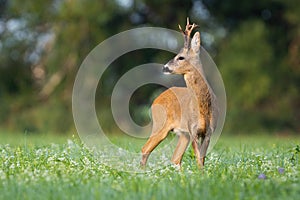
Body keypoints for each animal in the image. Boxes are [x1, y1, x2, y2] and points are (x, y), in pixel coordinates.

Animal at [141, 18, 218, 169]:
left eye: (180, 57)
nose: (164, 67)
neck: (203, 107)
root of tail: (155, 101)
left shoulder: (208, 132)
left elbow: (202, 160)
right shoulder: (192, 129)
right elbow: (198, 159)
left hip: (182, 134)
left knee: (175, 159)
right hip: (160, 124)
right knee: (145, 149)